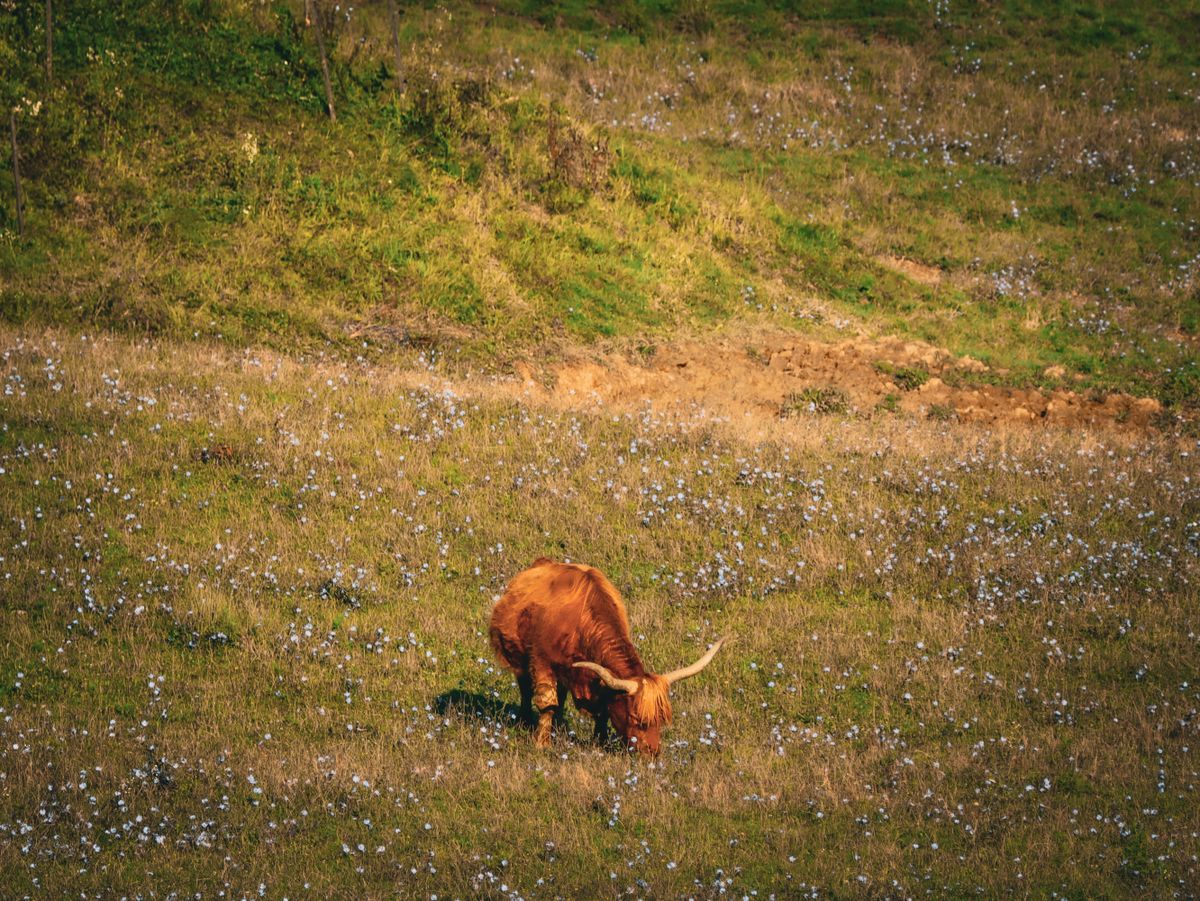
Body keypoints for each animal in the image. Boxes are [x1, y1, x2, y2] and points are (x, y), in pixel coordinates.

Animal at [489, 557, 726, 755]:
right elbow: (547, 703)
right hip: (519, 659)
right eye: (636, 718)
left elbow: (602, 710)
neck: (578, 624)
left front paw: (600, 742)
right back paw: (525, 720)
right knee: (525, 689)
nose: (652, 753)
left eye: (661, 718)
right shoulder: (541, 662)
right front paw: (542, 743)